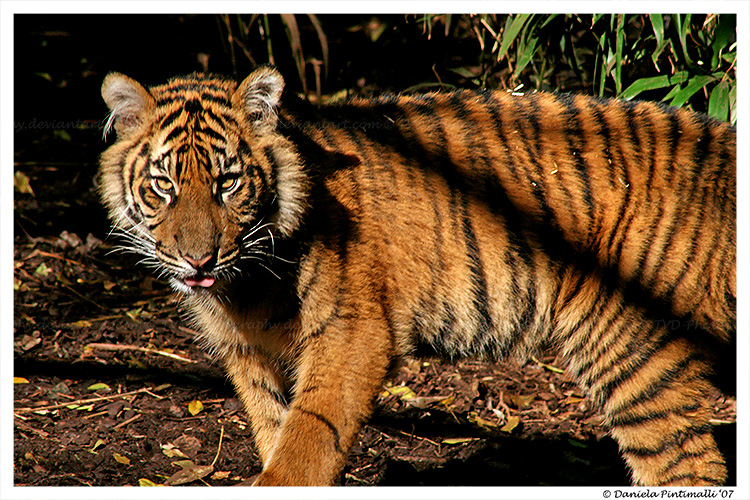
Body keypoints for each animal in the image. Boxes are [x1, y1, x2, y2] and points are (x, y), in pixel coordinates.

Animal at [97, 65, 736, 484]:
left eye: (227, 183)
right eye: (163, 185)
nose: (198, 262)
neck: (242, 287)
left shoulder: (351, 335)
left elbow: (305, 442)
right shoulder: (248, 352)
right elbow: (274, 429)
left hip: (633, 352)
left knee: (688, 465)